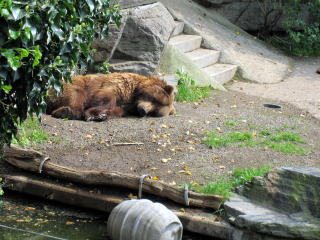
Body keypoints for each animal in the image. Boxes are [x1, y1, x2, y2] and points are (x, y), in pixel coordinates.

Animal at [45, 72, 175, 121]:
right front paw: (92, 114)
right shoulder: (120, 84)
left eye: (154, 112)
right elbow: (106, 97)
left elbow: (117, 110)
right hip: (66, 84)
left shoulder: (127, 107)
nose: (143, 110)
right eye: (154, 98)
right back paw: (66, 112)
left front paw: (101, 116)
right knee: (76, 94)